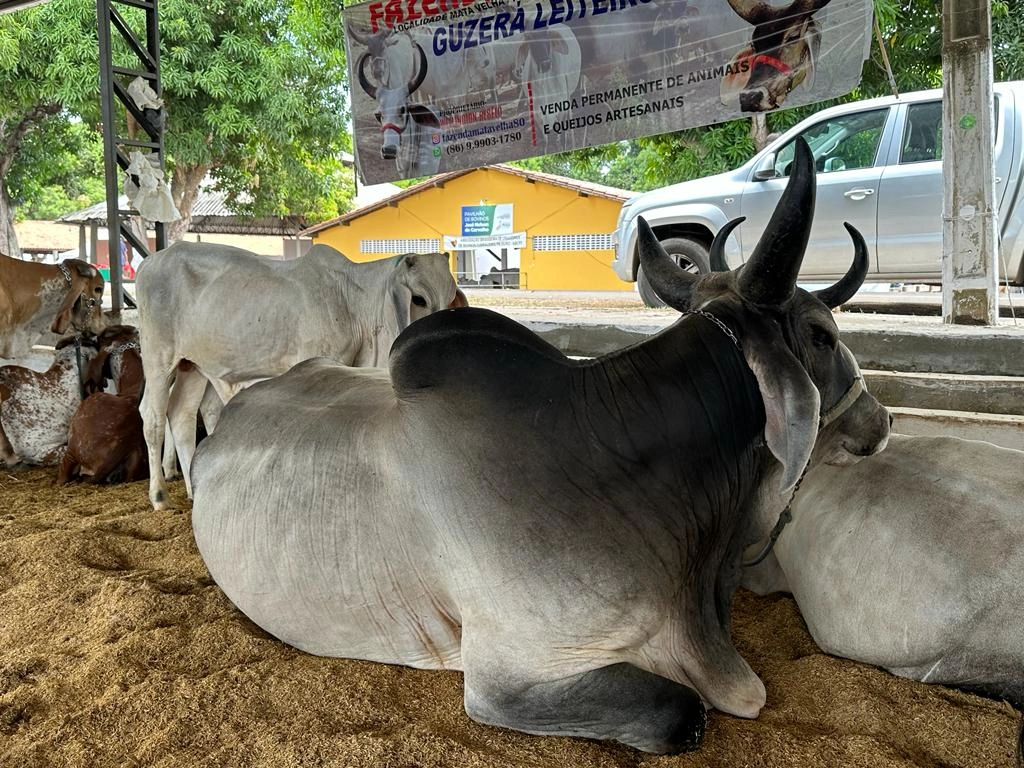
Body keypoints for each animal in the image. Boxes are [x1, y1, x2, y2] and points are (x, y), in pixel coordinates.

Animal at [134, 243, 462, 512]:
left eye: (451, 297)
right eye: (418, 299)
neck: (353, 302)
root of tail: (152, 260)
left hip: (192, 365)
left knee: (181, 415)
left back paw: (194, 492)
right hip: (159, 358)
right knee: (152, 417)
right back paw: (159, 496)